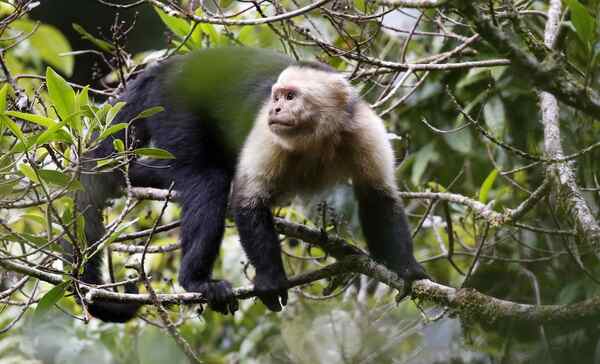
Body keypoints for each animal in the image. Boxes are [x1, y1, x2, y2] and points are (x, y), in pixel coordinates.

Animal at [77, 47, 428, 322]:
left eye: (291, 96)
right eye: (276, 96)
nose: (276, 108)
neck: (317, 136)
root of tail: (167, 67)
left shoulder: (363, 129)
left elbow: (378, 196)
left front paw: (406, 269)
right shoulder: (267, 132)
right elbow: (248, 201)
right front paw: (271, 279)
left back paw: (136, 176)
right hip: (174, 104)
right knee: (209, 180)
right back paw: (196, 281)